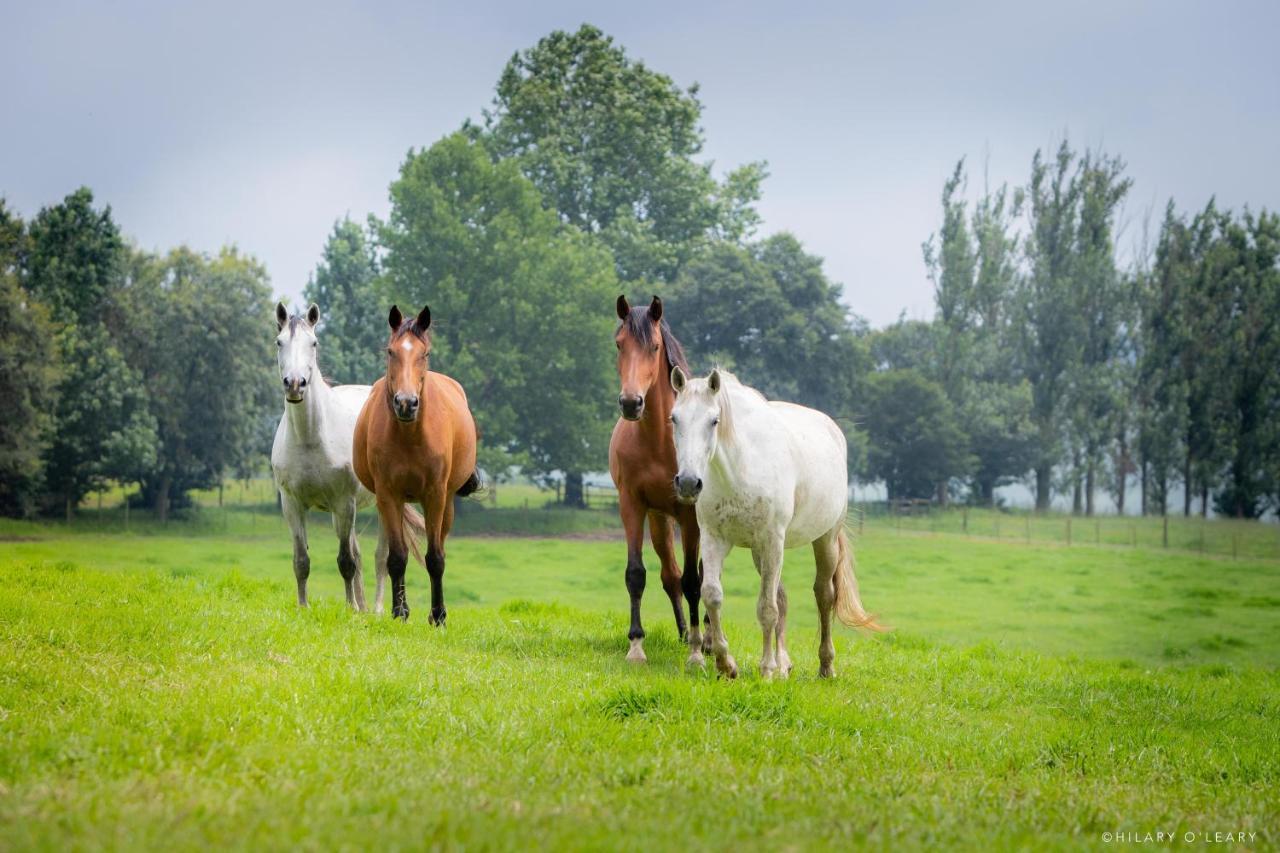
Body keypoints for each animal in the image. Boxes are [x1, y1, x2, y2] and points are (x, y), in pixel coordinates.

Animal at [271, 302, 424, 607]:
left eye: (314, 343)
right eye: (279, 342)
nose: (295, 384)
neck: (310, 438)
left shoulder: (344, 503)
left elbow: (346, 562)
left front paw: (350, 608)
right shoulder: (292, 504)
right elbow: (301, 562)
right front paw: (304, 607)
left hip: (383, 503)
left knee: (380, 557)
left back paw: (375, 608)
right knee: (361, 555)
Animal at [350, 302, 481, 622]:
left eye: (425, 353)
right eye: (390, 351)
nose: (406, 403)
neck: (409, 436)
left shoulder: (435, 496)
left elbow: (435, 558)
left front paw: (438, 615)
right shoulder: (388, 495)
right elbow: (397, 557)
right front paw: (400, 612)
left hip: (446, 504)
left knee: (439, 547)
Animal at [606, 294, 706, 666]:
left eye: (655, 346)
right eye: (619, 344)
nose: (631, 403)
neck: (660, 443)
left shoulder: (691, 517)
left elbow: (694, 581)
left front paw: (697, 653)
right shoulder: (632, 506)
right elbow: (637, 574)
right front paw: (636, 645)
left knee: (701, 577)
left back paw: (707, 639)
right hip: (660, 520)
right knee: (670, 575)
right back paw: (683, 633)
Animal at [670, 366, 880, 676]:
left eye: (714, 420)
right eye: (674, 418)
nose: (687, 482)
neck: (740, 467)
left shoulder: (772, 540)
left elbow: (767, 608)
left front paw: (767, 669)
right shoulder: (714, 539)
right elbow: (712, 595)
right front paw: (725, 663)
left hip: (825, 539)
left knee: (824, 595)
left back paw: (825, 666)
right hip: (761, 552)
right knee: (782, 596)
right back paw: (784, 665)